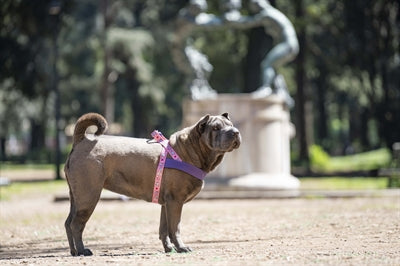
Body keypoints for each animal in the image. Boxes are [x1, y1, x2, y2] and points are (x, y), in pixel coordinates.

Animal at [64, 112, 242, 256]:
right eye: (216, 128)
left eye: (231, 125)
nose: (235, 132)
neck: (191, 149)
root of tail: (82, 139)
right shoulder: (175, 201)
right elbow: (175, 228)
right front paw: (181, 247)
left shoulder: (166, 203)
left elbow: (164, 229)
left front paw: (169, 248)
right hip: (88, 196)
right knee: (76, 224)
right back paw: (82, 250)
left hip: (77, 197)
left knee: (68, 223)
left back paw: (73, 251)